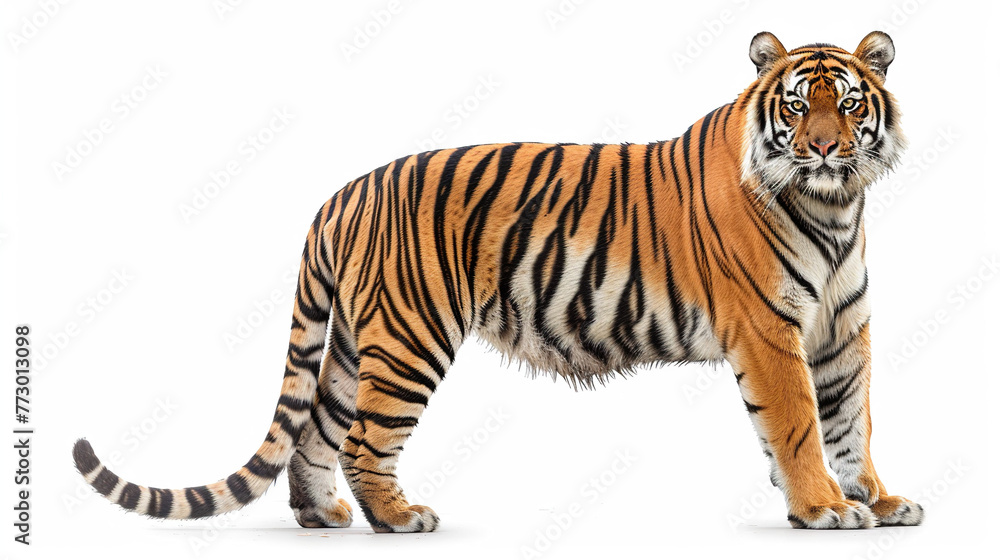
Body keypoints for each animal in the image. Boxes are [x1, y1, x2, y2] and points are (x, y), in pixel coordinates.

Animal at [74, 31, 924, 532]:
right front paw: (823, 508)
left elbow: (852, 421)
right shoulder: (771, 329)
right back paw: (398, 517)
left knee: (316, 428)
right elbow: (800, 425)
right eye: (798, 106)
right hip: (408, 336)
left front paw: (879, 499)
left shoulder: (842, 329)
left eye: (849, 104)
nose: (825, 149)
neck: (836, 206)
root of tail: (340, 194)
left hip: (351, 343)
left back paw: (323, 517)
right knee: (361, 437)